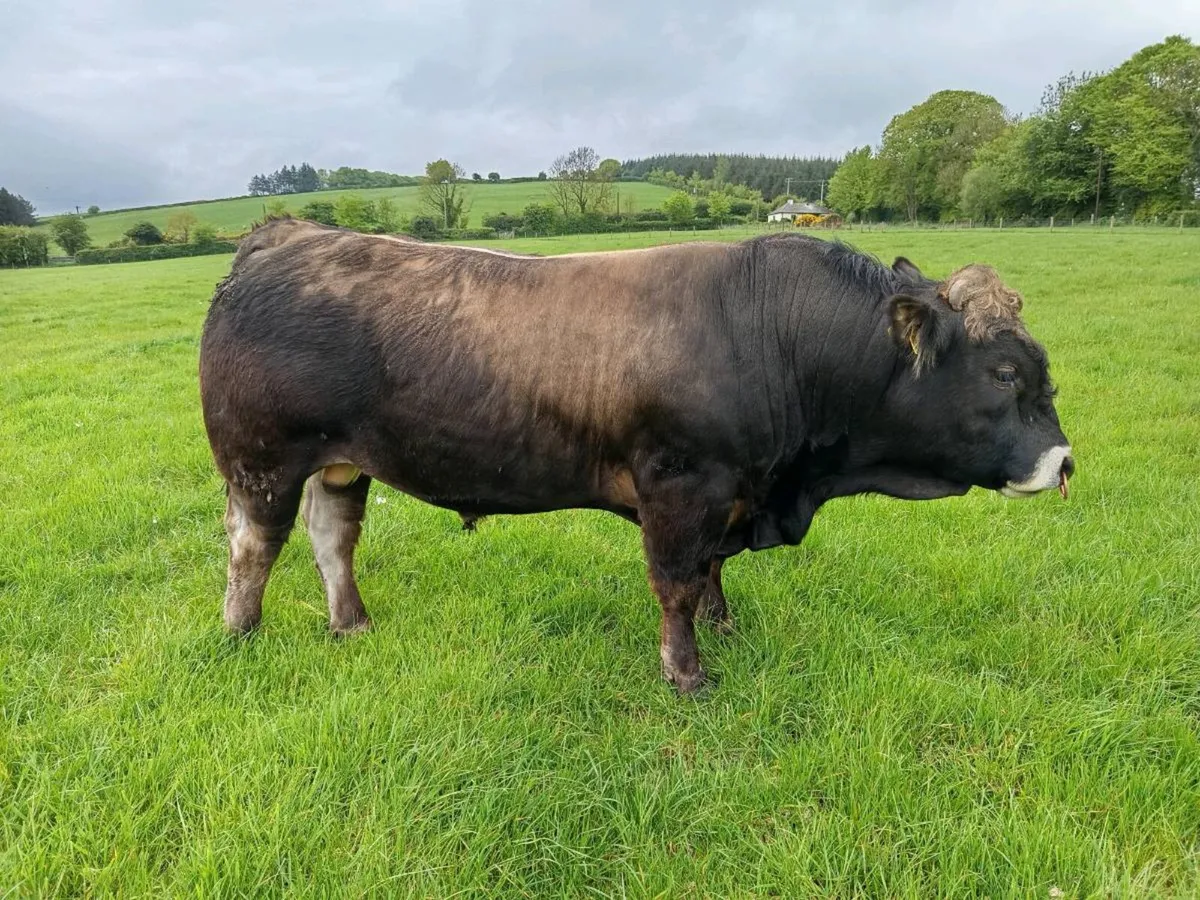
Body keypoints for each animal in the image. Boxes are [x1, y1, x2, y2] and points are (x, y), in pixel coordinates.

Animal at [198, 219, 1073, 694]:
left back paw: (352, 625)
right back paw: (240, 634)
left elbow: (713, 573)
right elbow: (677, 583)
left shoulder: (731, 492)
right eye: (1005, 373)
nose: (1064, 463)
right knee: (254, 547)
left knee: (332, 539)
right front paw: (687, 672)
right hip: (263, 461)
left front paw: (725, 628)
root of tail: (287, 236)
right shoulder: (681, 487)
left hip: (341, 464)